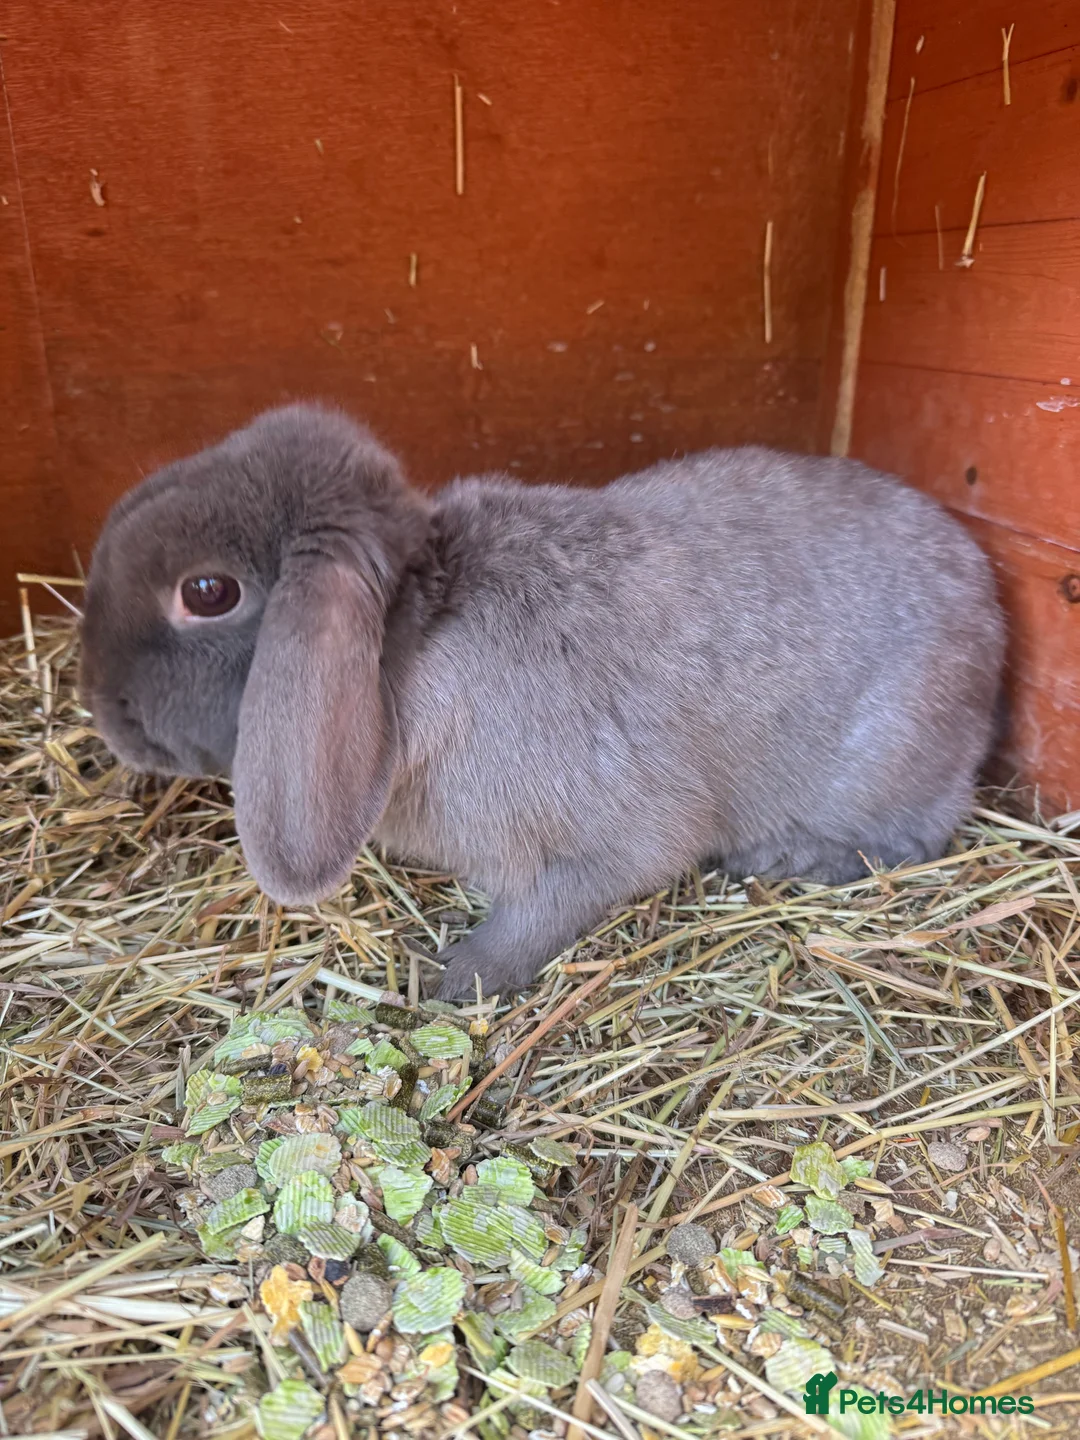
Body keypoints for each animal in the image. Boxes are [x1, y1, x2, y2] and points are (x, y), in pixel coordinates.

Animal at [79, 403, 1006, 1000]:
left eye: (207, 593)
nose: (106, 713)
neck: (412, 641)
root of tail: (990, 613)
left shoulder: (605, 841)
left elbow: (559, 903)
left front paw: (457, 977)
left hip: (886, 761)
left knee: (911, 840)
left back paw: (784, 857)